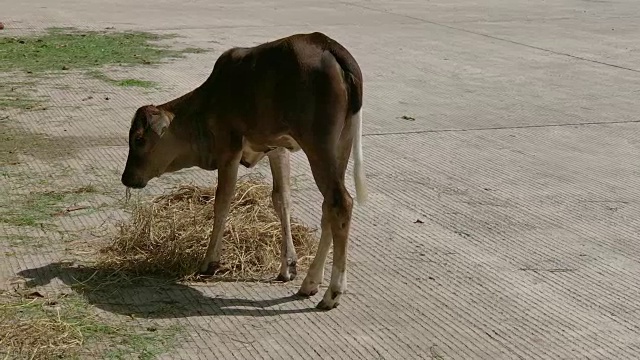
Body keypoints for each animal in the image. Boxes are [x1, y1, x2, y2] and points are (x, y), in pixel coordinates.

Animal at [120, 31, 368, 310]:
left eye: (139, 139)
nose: (126, 177)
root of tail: (327, 43)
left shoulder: (229, 148)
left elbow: (222, 201)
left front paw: (209, 262)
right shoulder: (276, 148)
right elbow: (281, 199)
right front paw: (288, 266)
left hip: (319, 145)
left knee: (340, 202)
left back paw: (332, 292)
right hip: (340, 145)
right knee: (329, 207)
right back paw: (311, 282)